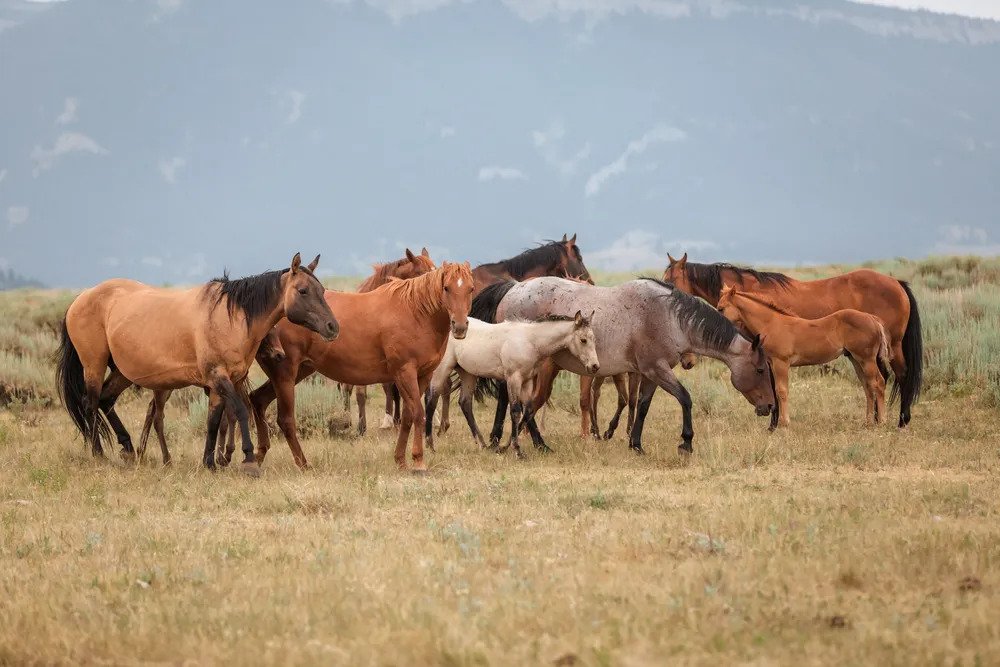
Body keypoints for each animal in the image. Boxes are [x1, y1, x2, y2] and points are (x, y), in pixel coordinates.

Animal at [136, 327, 287, 466]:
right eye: (266, 333)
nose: (280, 354)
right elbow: (226, 419)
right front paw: (223, 456)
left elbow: (225, 420)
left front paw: (221, 456)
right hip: (163, 389)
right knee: (157, 418)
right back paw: (165, 460)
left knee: (151, 408)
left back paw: (141, 452)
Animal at [424, 312, 600, 457]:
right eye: (583, 340)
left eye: (594, 339)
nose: (594, 366)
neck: (530, 340)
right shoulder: (513, 379)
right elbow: (515, 411)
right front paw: (517, 450)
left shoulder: (527, 381)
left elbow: (528, 410)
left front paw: (504, 447)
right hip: (442, 369)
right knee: (431, 400)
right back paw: (430, 445)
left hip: (468, 373)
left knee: (465, 403)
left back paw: (482, 444)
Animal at [470, 277, 777, 455]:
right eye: (761, 370)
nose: (770, 406)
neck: (669, 317)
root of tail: (513, 287)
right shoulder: (657, 370)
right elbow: (685, 398)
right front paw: (686, 442)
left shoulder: (650, 374)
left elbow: (641, 405)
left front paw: (636, 444)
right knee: (517, 401)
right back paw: (514, 442)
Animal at [717, 285, 891, 426]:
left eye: (721, 308)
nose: (718, 322)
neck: (772, 324)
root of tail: (873, 319)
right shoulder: (771, 363)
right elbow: (775, 390)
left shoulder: (781, 363)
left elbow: (781, 391)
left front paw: (784, 423)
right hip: (855, 359)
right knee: (867, 386)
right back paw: (868, 421)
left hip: (867, 359)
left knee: (878, 383)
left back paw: (882, 421)